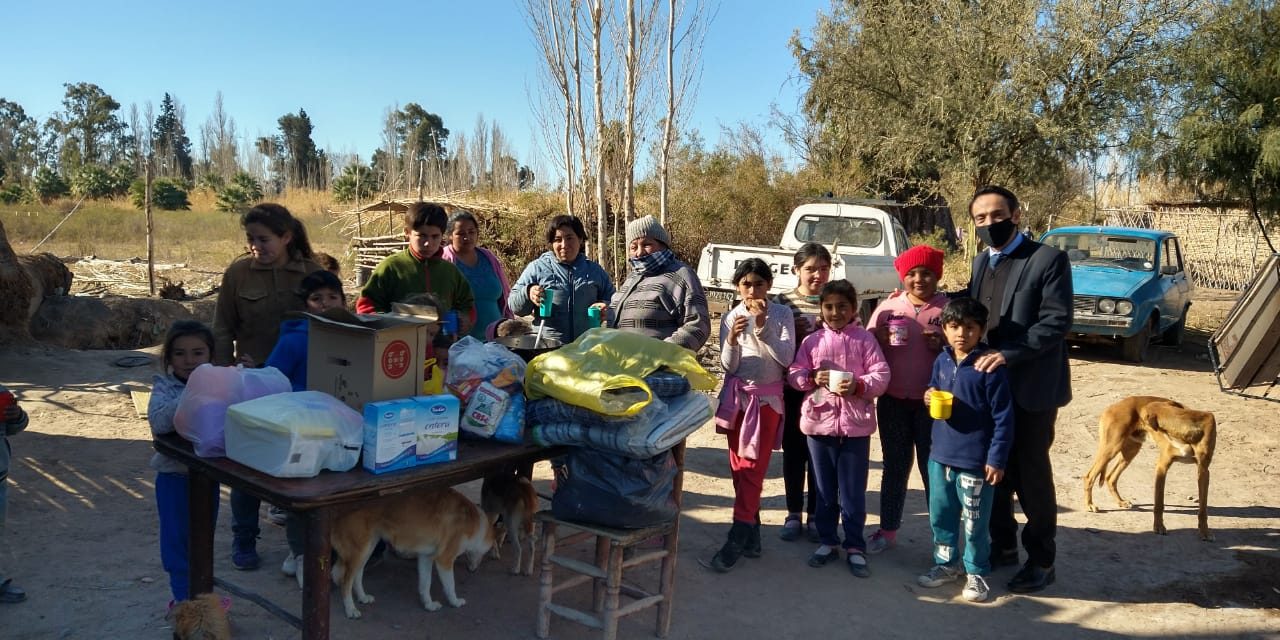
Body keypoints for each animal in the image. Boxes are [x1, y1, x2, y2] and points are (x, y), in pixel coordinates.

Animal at [330, 486, 494, 616]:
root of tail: (338, 511)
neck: (474, 521)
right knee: (345, 583)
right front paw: (454, 602)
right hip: (359, 554)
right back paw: (350, 610)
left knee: (357, 576)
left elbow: (425, 584)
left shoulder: (426, 557)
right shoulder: (444, 559)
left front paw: (428, 604)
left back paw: (362, 597)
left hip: (366, 551)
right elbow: (450, 586)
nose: (473, 570)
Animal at [1085, 394, 1213, 540]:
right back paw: (1090, 505)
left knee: (1110, 477)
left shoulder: (1203, 471)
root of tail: (1113, 406)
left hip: (1130, 451)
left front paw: (1205, 532)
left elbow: (1203, 508)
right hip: (1111, 448)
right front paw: (1159, 527)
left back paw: (1120, 502)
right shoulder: (1162, 467)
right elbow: (1159, 504)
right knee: (1089, 476)